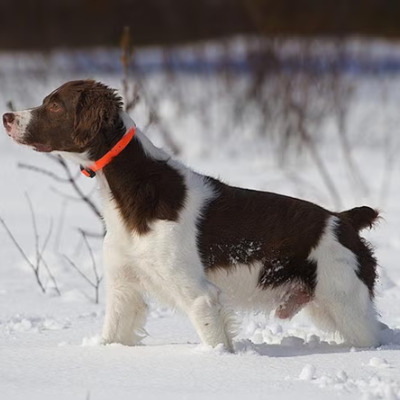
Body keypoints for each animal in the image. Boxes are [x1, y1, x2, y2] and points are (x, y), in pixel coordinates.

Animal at [3, 80, 384, 350]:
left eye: (55, 105)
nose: (7, 117)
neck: (135, 190)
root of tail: (344, 218)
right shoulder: (124, 289)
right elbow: (112, 336)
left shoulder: (200, 296)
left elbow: (215, 342)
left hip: (346, 302)